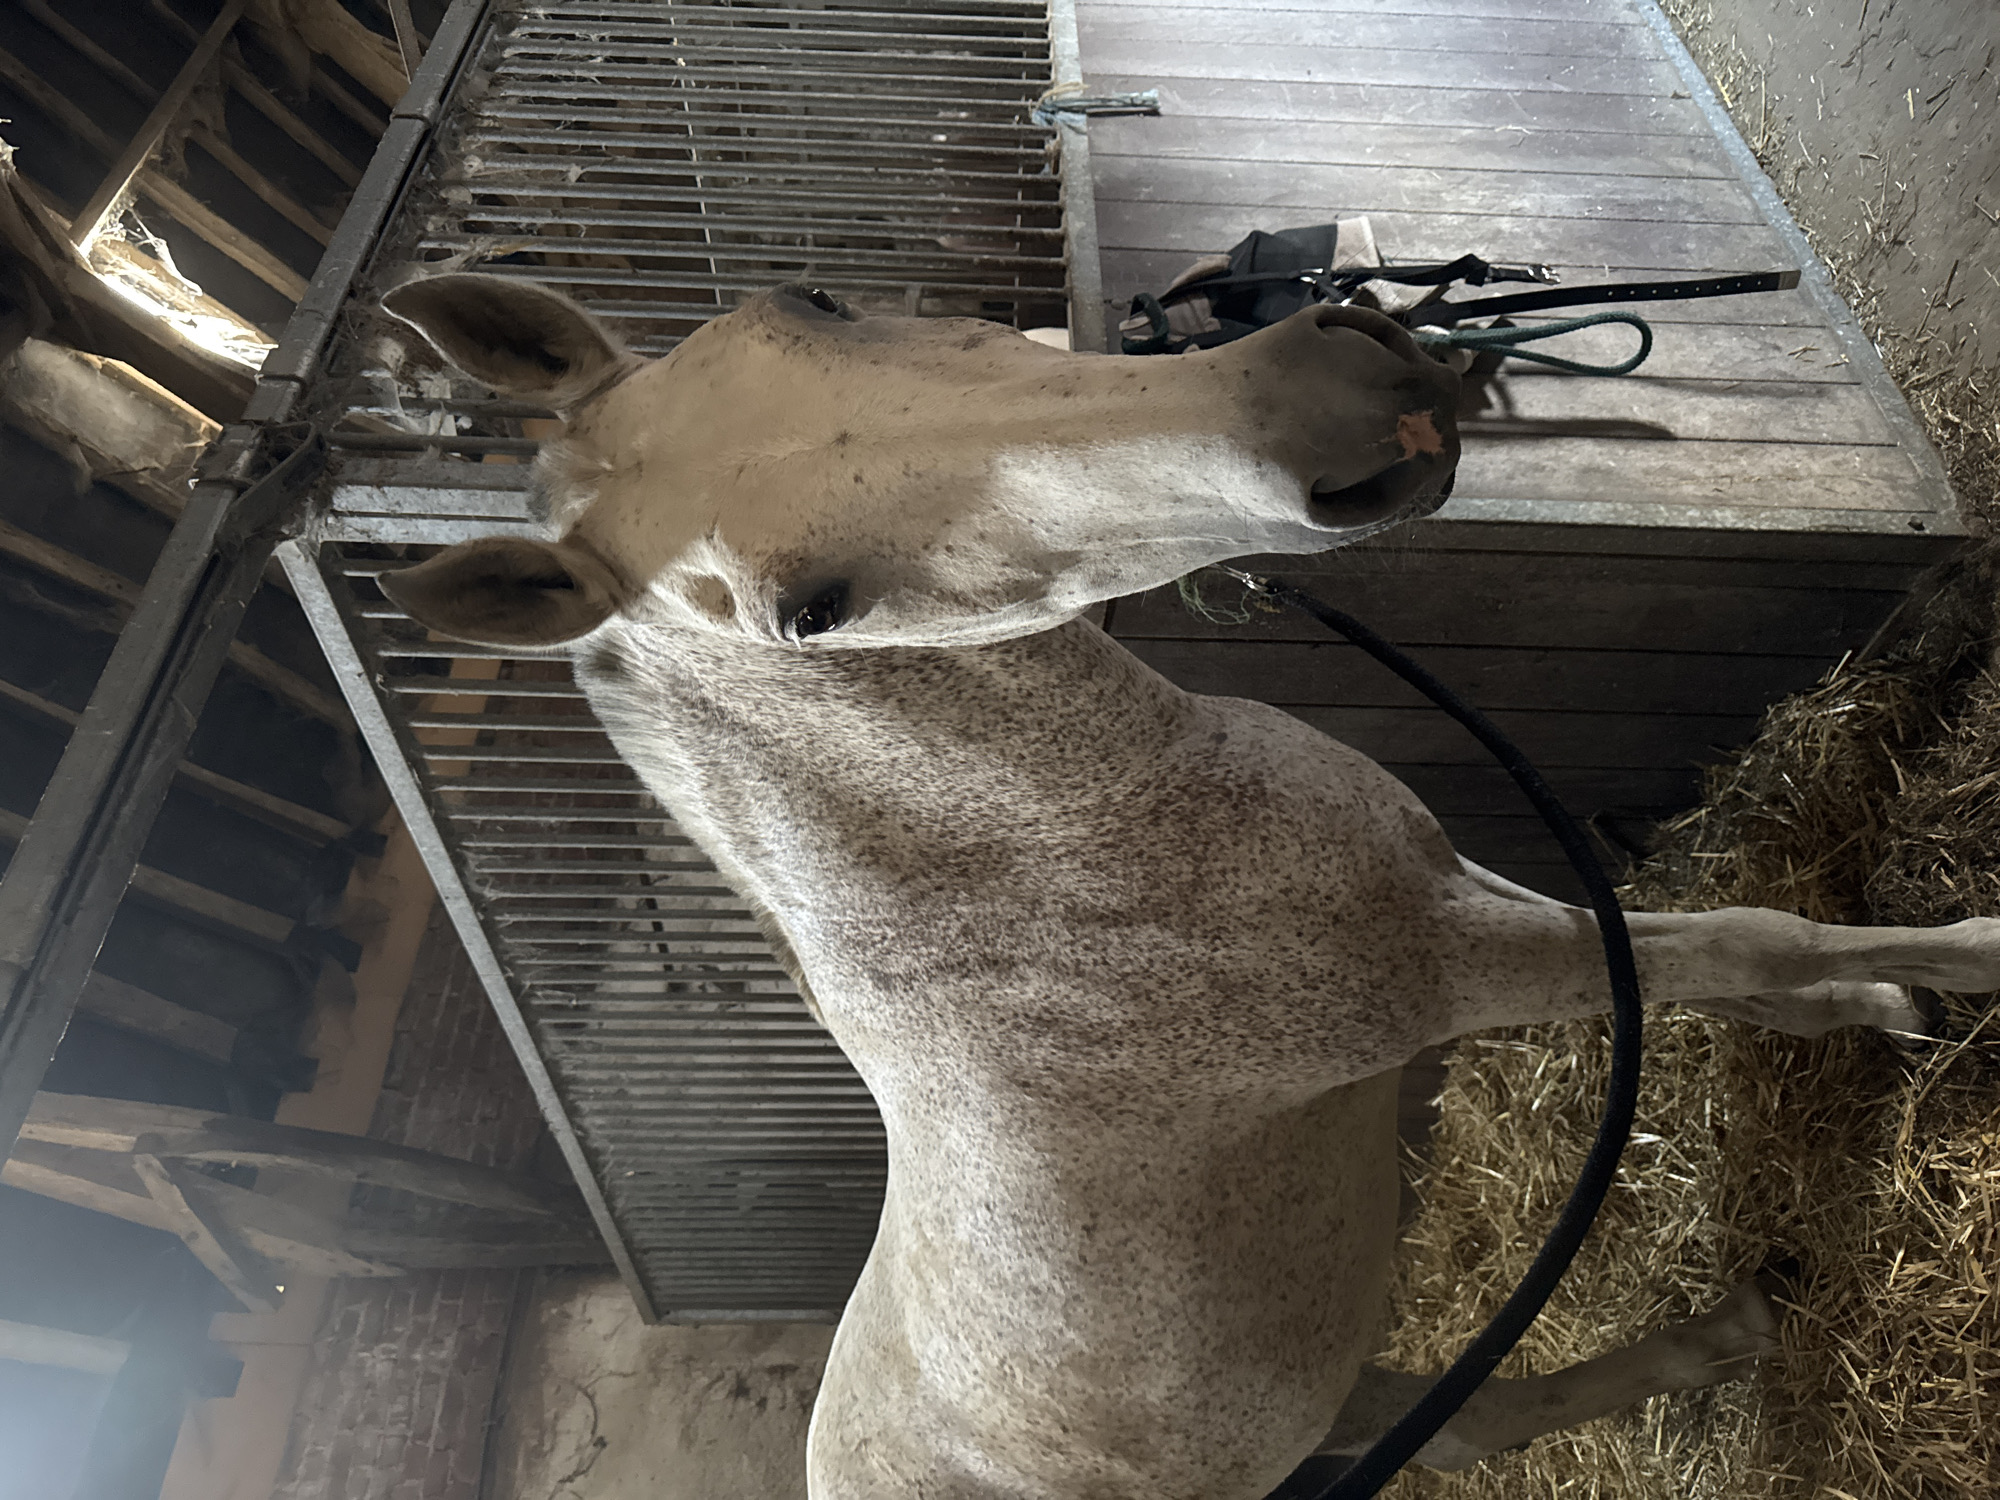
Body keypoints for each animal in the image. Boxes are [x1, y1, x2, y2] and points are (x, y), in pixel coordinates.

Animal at [378, 274, 1998, 1496]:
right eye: (808, 614)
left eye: (814, 302)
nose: (1345, 401)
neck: (1049, 860)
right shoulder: (1440, 973)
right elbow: (1735, 940)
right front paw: (1963, 959)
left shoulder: (1442, 876)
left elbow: (1711, 949)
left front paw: (1872, 1003)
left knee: (1477, 1416)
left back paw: (1730, 1333)